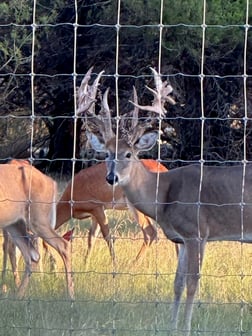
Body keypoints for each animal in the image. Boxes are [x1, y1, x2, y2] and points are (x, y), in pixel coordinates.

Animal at [0, 161, 74, 298]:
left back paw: (71, 297)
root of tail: (52, 182)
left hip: (38, 219)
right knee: (31, 255)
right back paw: (18, 296)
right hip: (14, 224)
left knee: (63, 245)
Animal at [79, 66, 252, 336]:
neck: (163, 197)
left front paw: (187, 328)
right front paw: (172, 326)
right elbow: (177, 283)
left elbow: (193, 282)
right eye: (106, 153)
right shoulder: (181, 238)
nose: (111, 177)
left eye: (129, 154)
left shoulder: (197, 232)